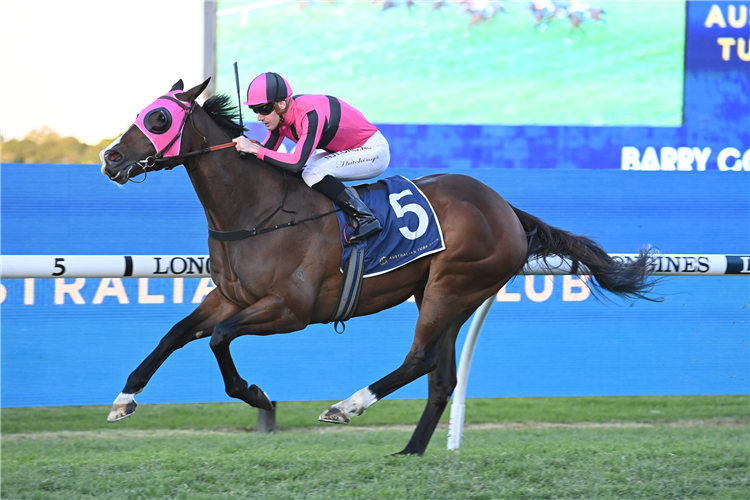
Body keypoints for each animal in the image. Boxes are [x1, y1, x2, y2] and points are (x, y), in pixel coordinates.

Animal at [101, 79, 656, 458]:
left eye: (157, 119)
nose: (110, 157)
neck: (258, 211)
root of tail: (505, 208)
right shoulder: (230, 297)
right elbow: (176, 333)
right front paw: (124, 399)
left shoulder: (290, 310)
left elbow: (219, 339)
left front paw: (256, 395)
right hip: (441, 294)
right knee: (441, 377)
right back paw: (410, 451)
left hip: (454, 287)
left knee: (420, 361)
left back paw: (346, 407)